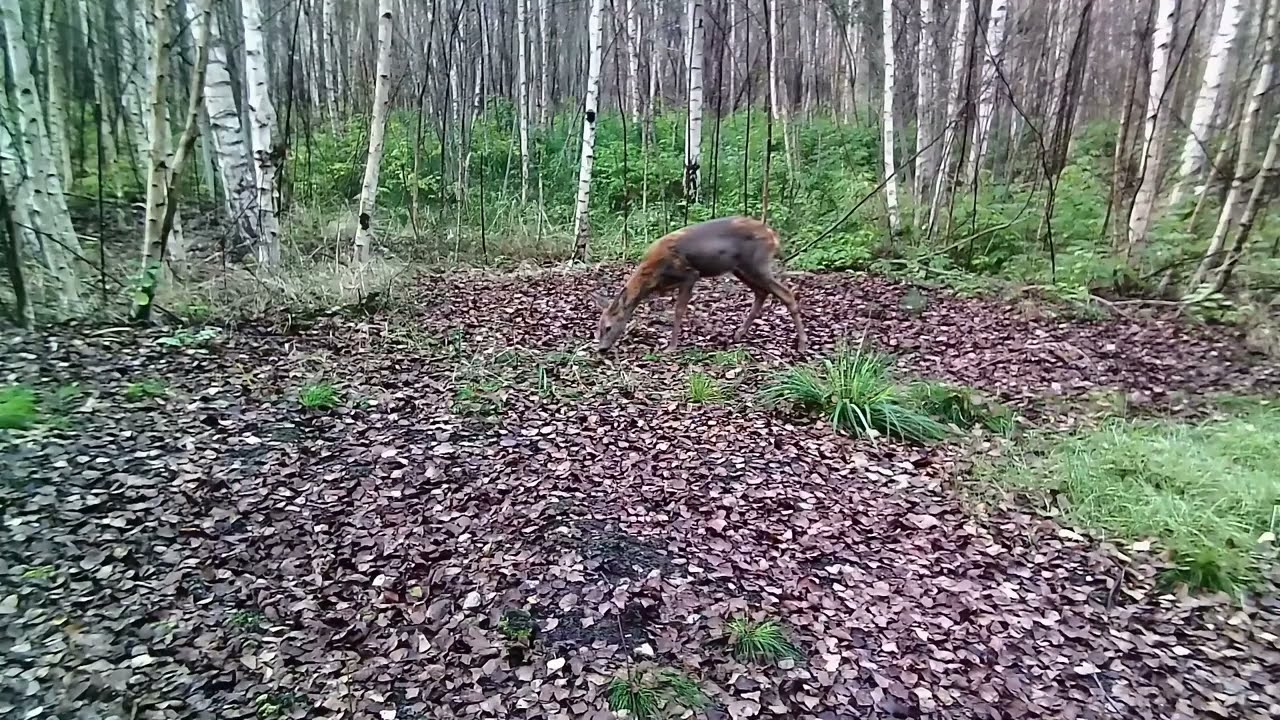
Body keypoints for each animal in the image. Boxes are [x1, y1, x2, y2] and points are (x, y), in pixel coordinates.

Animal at [591, 216, 808, 354]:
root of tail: (773, 236)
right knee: (761, 292)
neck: (653, 276)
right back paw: (739, 334)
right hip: (740, 268)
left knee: (785, 293)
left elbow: (679, 310)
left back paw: (802, 345)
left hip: (757, 263)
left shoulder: (690, 274)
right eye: (598, 327)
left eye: (608, 327)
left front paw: (671, 346)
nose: (601, 349)